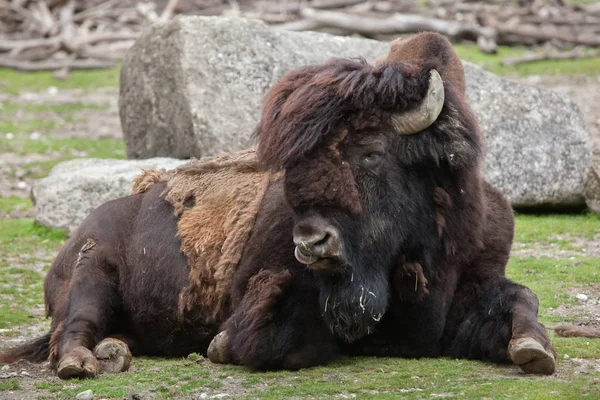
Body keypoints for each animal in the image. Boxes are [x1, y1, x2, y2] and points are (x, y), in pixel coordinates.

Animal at [2, 32, 580, 378]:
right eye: (294, 165)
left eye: (372, 152)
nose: (311, 241)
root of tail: (74, 238)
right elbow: (272, 341)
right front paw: (221, 345)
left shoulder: (475, 282)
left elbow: (522, 299)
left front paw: (534, 351)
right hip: (91, 274)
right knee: (73, 328)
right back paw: (84, 362)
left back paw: (115, 352)